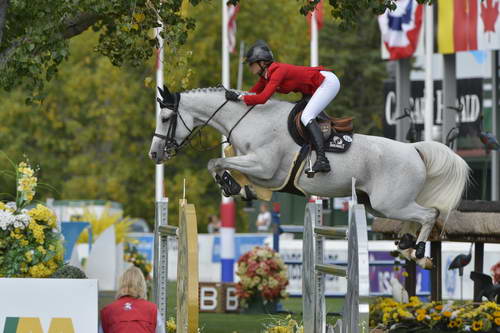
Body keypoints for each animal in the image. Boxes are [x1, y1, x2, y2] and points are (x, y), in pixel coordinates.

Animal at [148, 85, 468, 268]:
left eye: (165, 118)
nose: (154, 154)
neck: (250, 119)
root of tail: (414, 149)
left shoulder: (264, 167)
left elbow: (216, 161)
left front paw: (229, 184)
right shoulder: (259, 171)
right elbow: (224, 165)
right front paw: (238, 188)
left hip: (390, 203)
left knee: (429, 214)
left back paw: (419, 253)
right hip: (381, 204)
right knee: (416, 217)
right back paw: (406, 246)